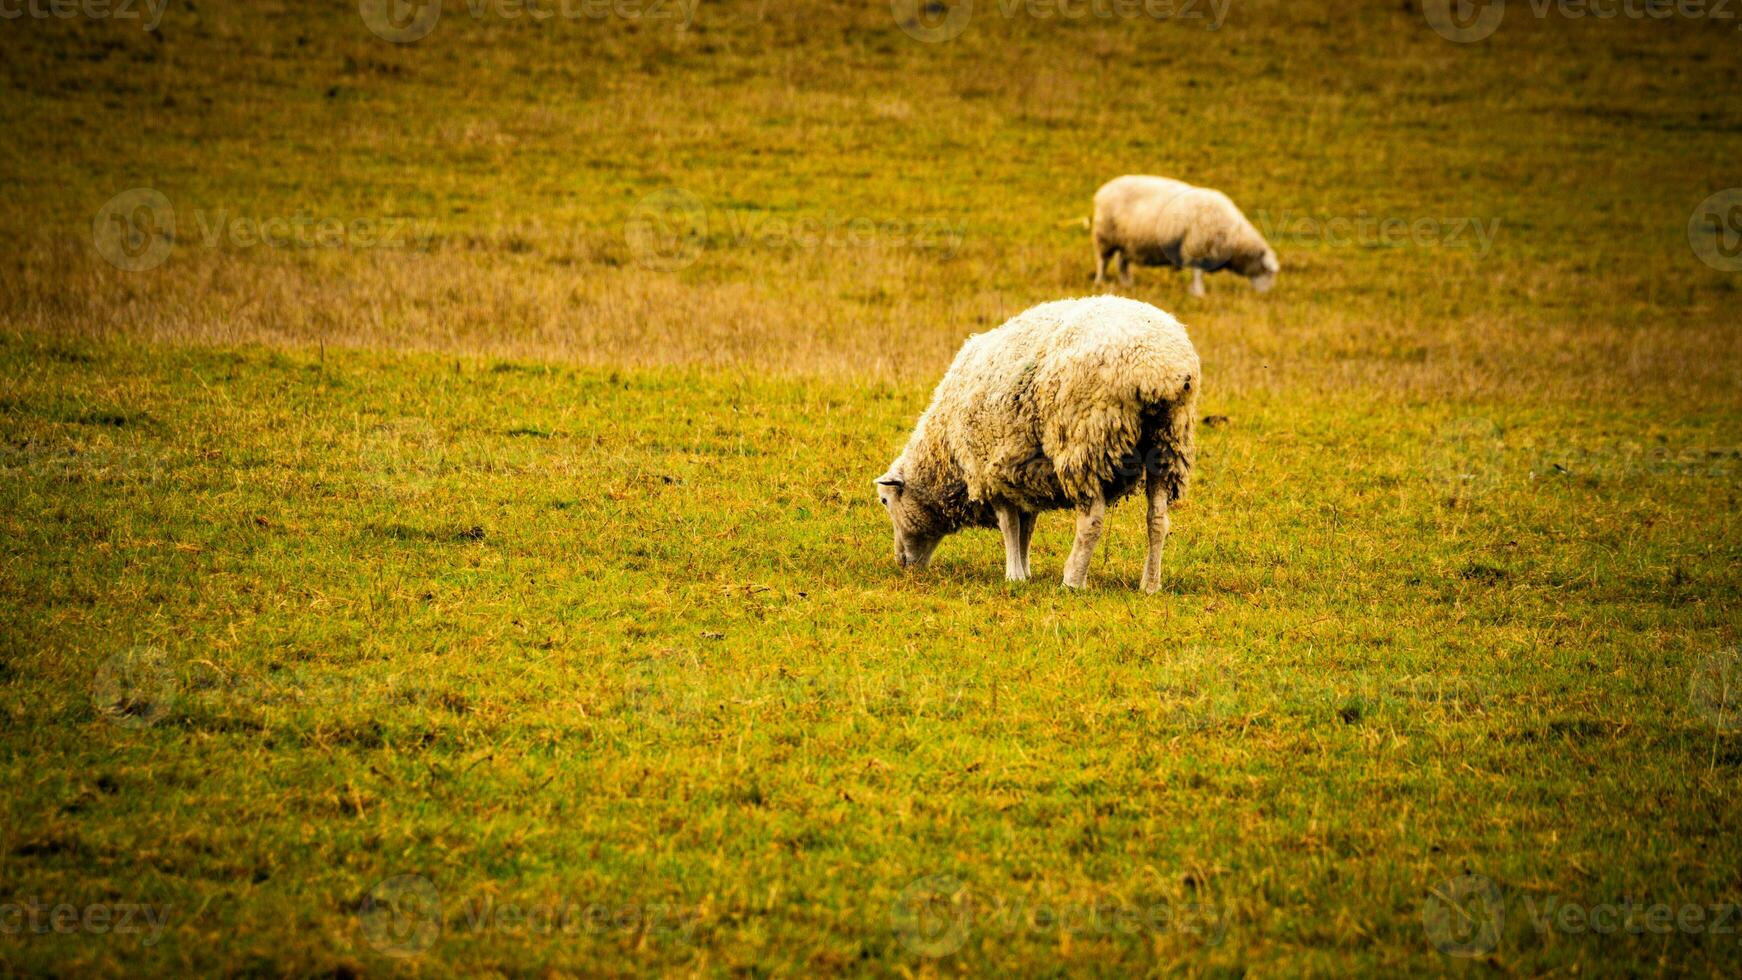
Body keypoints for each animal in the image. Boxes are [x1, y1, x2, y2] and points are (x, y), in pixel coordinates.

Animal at [871, 295, 1198, 595]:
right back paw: (1150, 585)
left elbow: (1010, 526)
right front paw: (1025, 570)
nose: (902, 563)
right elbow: (1026, 526)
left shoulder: (989, 471)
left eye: (885, 501)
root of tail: (1159, 368)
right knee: (1157, 519)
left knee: (1091, 521)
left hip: (1085, 441)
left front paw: (1013, 575)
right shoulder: (1023, 474)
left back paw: (1073, 581)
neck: (945, 451)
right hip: (1167, 442)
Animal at [1087, 174, 1282, 295]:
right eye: (1268, 271)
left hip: (1128, 241)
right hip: (1105, 235)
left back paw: (1128, 284)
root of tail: (1102, 190)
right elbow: (1197, 273)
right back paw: (1100, 282)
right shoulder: (1195, 246)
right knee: (1103, 262)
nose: (1266, 294)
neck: (1233, 235)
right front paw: (1199, 292)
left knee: (1122, 263)